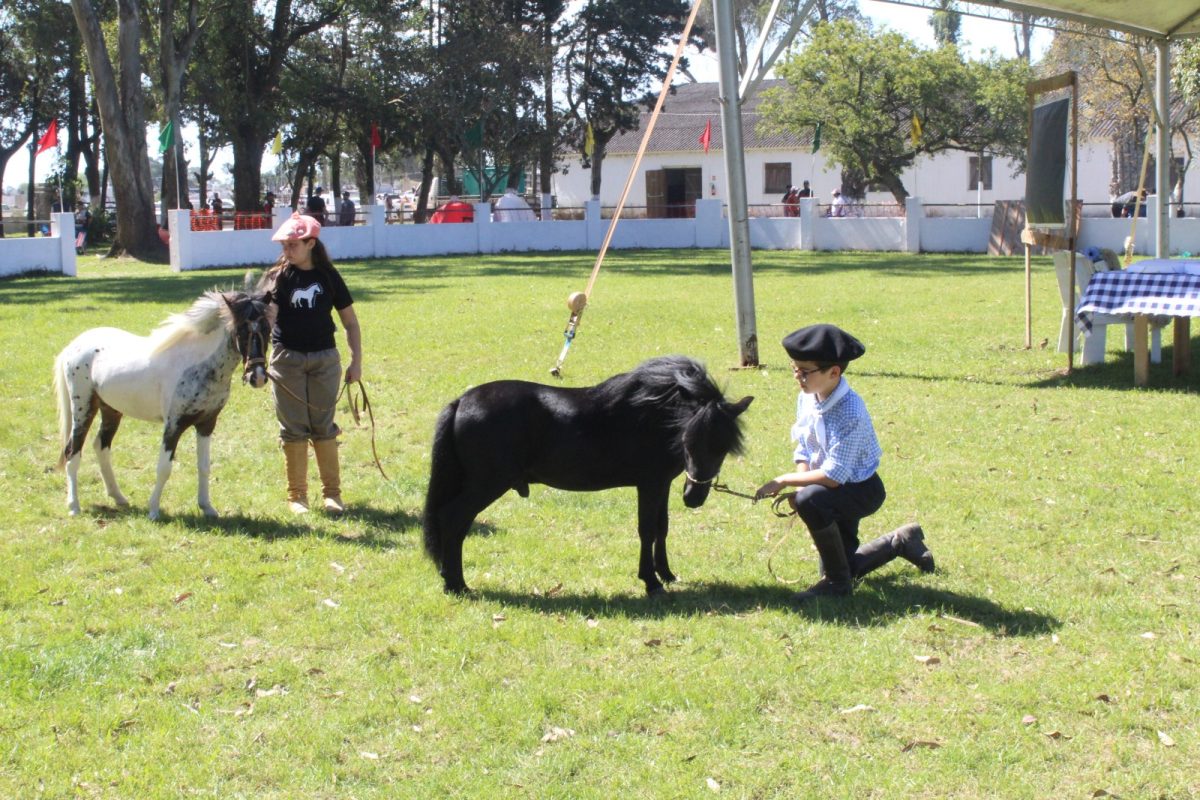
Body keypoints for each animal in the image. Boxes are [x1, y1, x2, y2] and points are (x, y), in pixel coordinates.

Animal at [55, 283, 270, 520]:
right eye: (241, 331)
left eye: (267, 330)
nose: (258, 377)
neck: (196, 364)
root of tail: (73, 346)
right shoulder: (173, 425)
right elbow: (164, 468)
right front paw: (154, 511)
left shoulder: (206, 424)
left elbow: (204, 466)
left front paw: (207, 507)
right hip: (83, 408)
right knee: (72, 452)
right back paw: (74, 506)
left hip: (111, 410)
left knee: (100, 446)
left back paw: (118, 497)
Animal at [422, 355, 748, 594]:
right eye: (688, 439)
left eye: (723, 448)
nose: (694, 498)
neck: (648, 414)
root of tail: (462, 401)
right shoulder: (649, 485)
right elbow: (647, 530)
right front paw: (651, 582)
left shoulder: (662, 485)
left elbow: (661, 528)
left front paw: (666, 573)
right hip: (486, 484)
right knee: (453, 519)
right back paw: (456, 584)